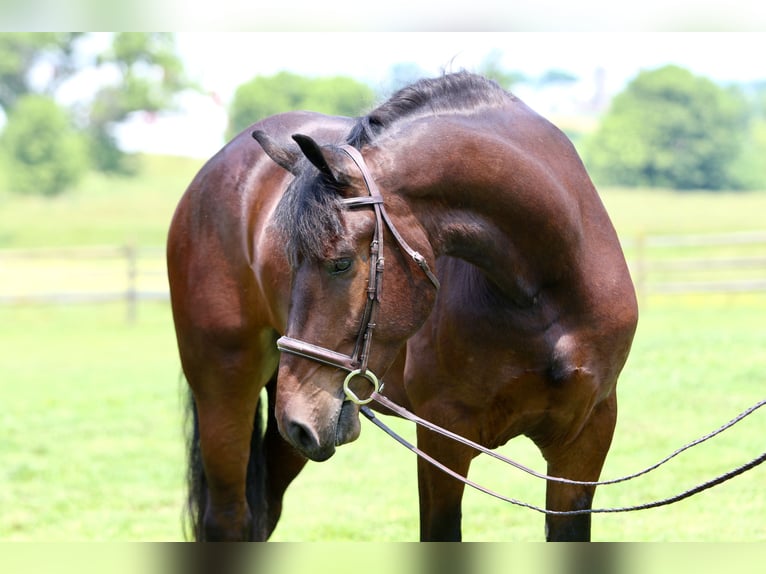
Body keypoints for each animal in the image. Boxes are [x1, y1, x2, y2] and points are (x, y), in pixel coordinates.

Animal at [167, 71, 638, 542]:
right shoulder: (443, 437)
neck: (545, 291)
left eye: (340, 263)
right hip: (228, 390)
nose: (298, 420)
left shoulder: (586, 441)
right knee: (228, 518)